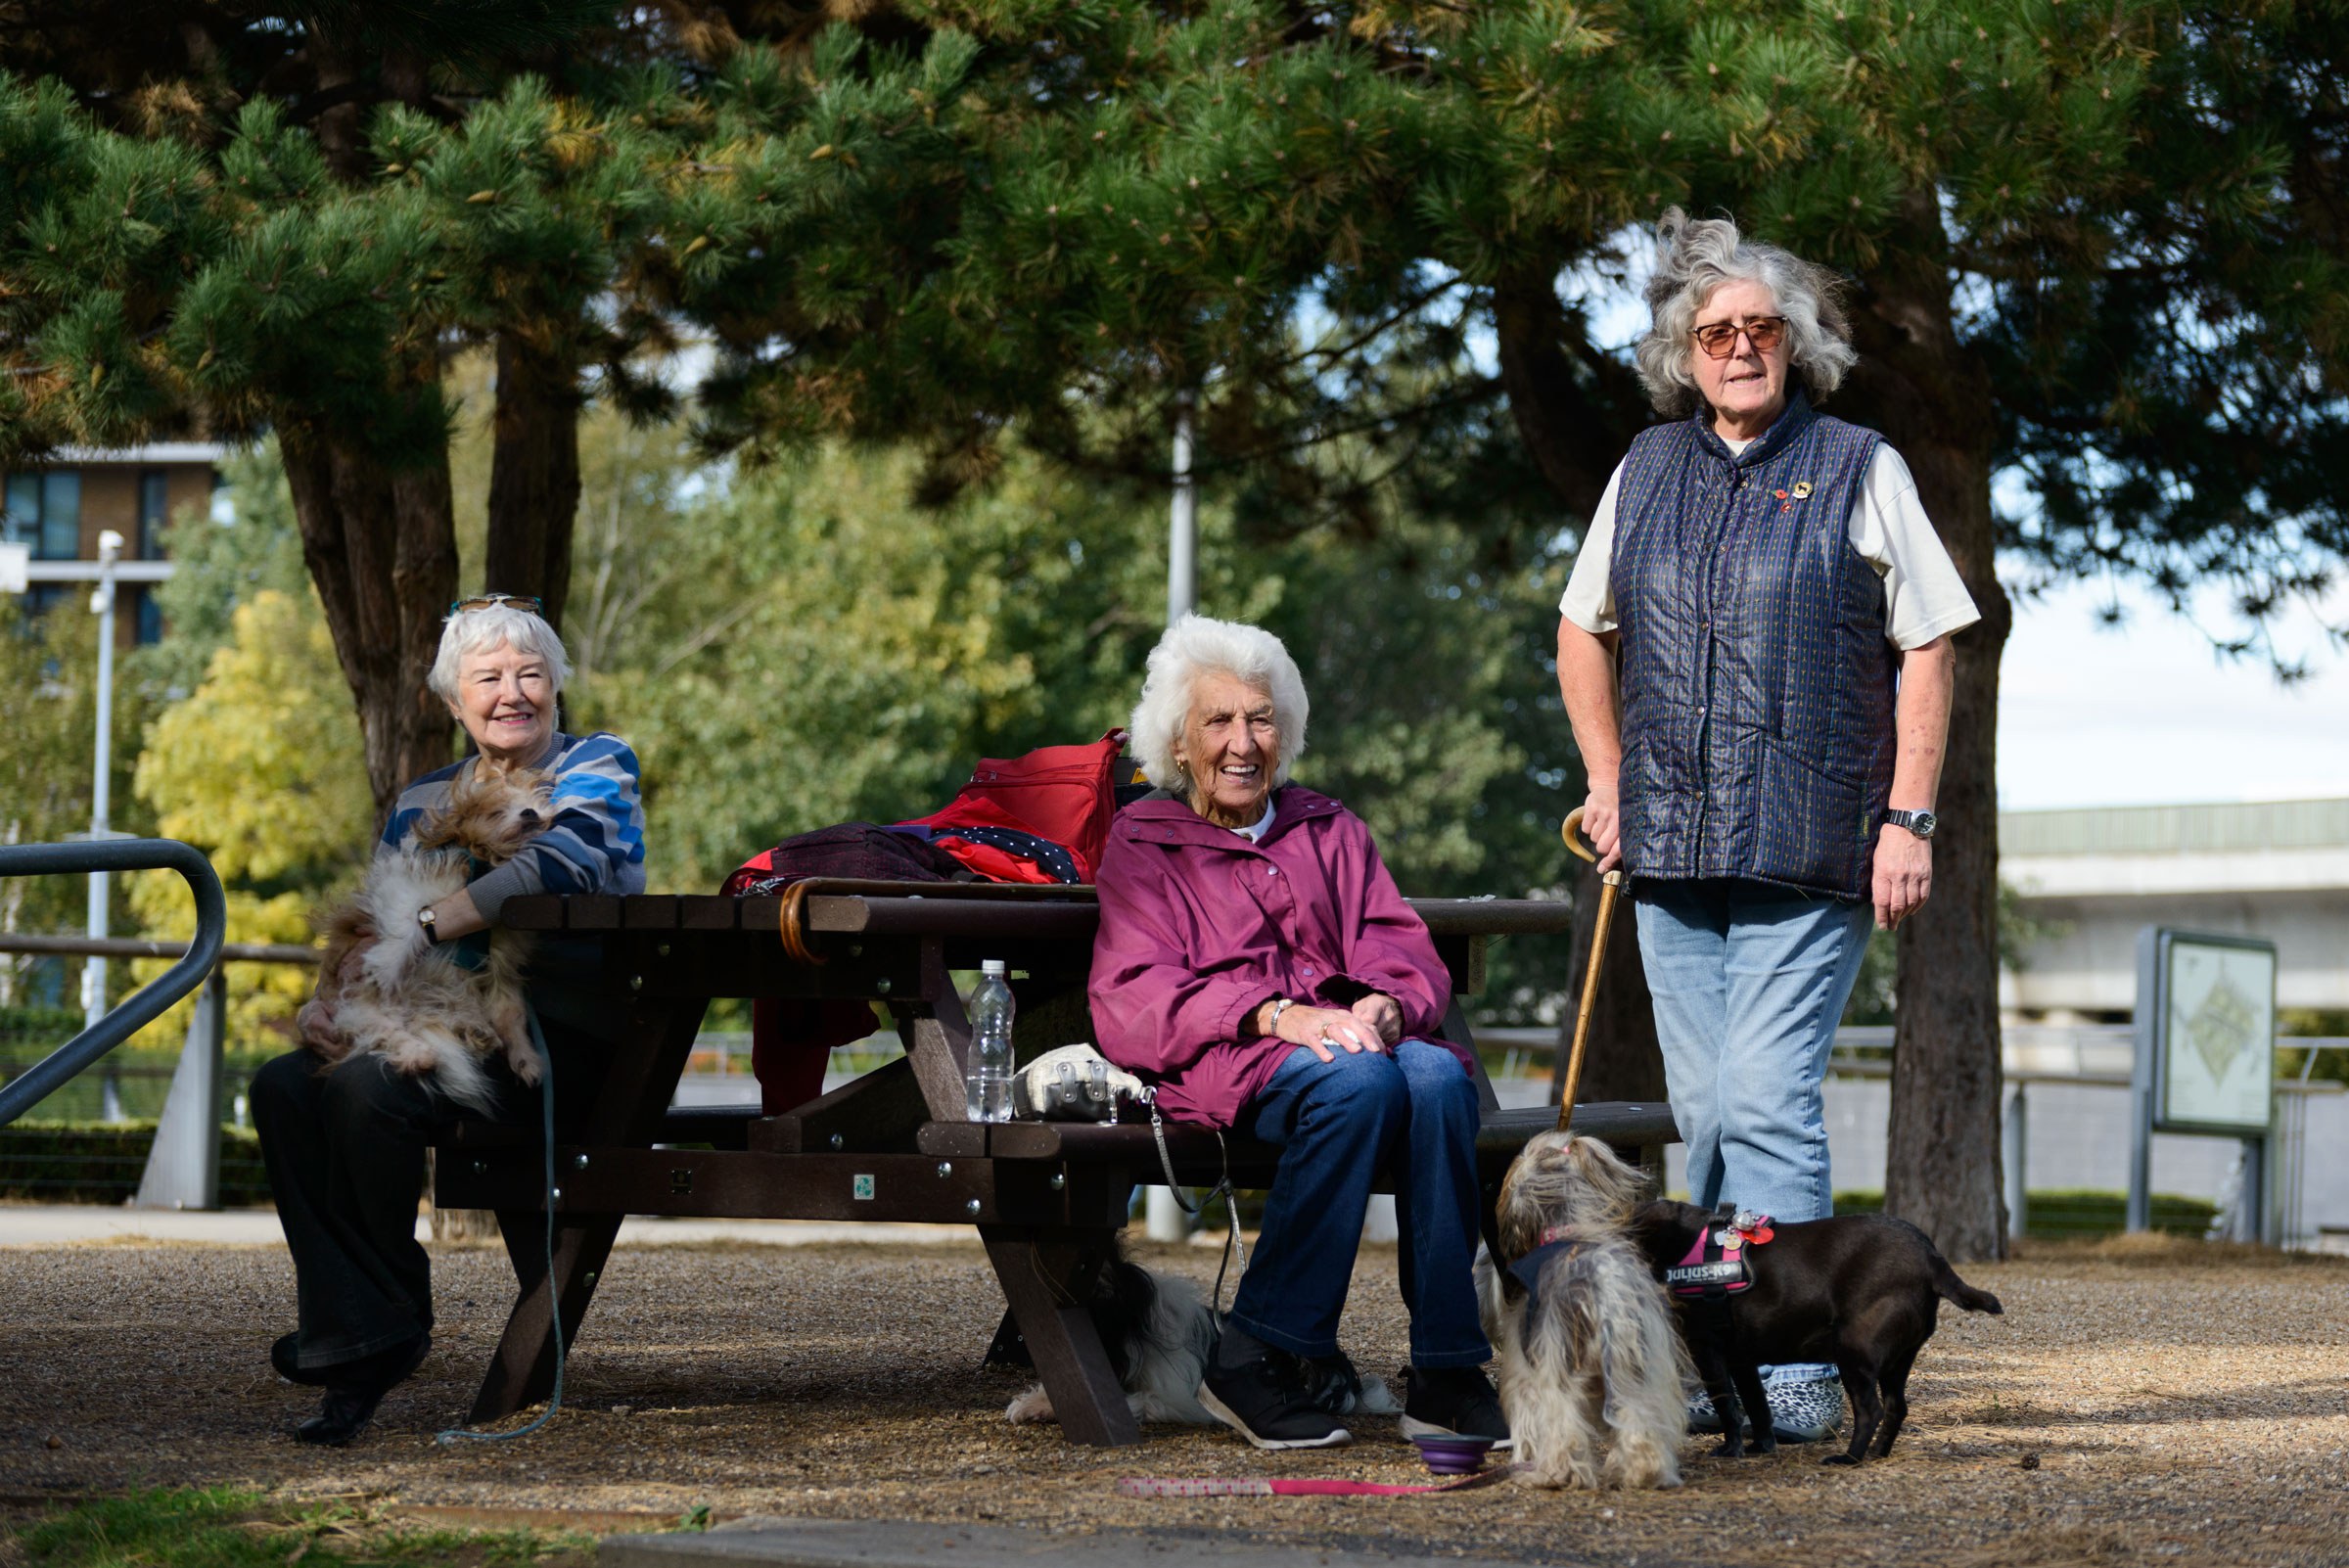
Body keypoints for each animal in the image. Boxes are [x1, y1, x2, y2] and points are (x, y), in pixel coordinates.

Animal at [298, 769, 554, 1112]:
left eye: (531, 804)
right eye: (496, 813)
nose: (529, 813)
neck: (483, 864)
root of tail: (414, 1014)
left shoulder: (501, 966)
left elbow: (511, 1015)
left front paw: (526, 1058)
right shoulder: (408, 888)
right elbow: (408, 924)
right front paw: (388, 965)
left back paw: (475, 1031)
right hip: (356, 1009)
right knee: (389, 1034)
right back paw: (420, 1054)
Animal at [1475, 1130, 1700, 1493]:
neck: (1566, 1227)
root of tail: (1603, 1288)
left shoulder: (1526, 1365)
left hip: (1561, 1365)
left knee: (1562, 1428)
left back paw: (1552, 1476)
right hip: (1632, 1366)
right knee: (1639, 1421)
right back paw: (1647, 1472)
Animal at [1635, 1201, 2001, 1474]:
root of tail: (1932, 1260)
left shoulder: (1708, 1351)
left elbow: (1727, 1406)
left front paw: (1729, 1450)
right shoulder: (1742, 1361)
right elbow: (1757, 1406)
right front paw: (1760, 1447)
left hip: (1853, 1353)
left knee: (1871, 1411)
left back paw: (1849, 1458)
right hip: (1897, 1361)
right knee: (1896, 1407)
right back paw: (1878, 1453)